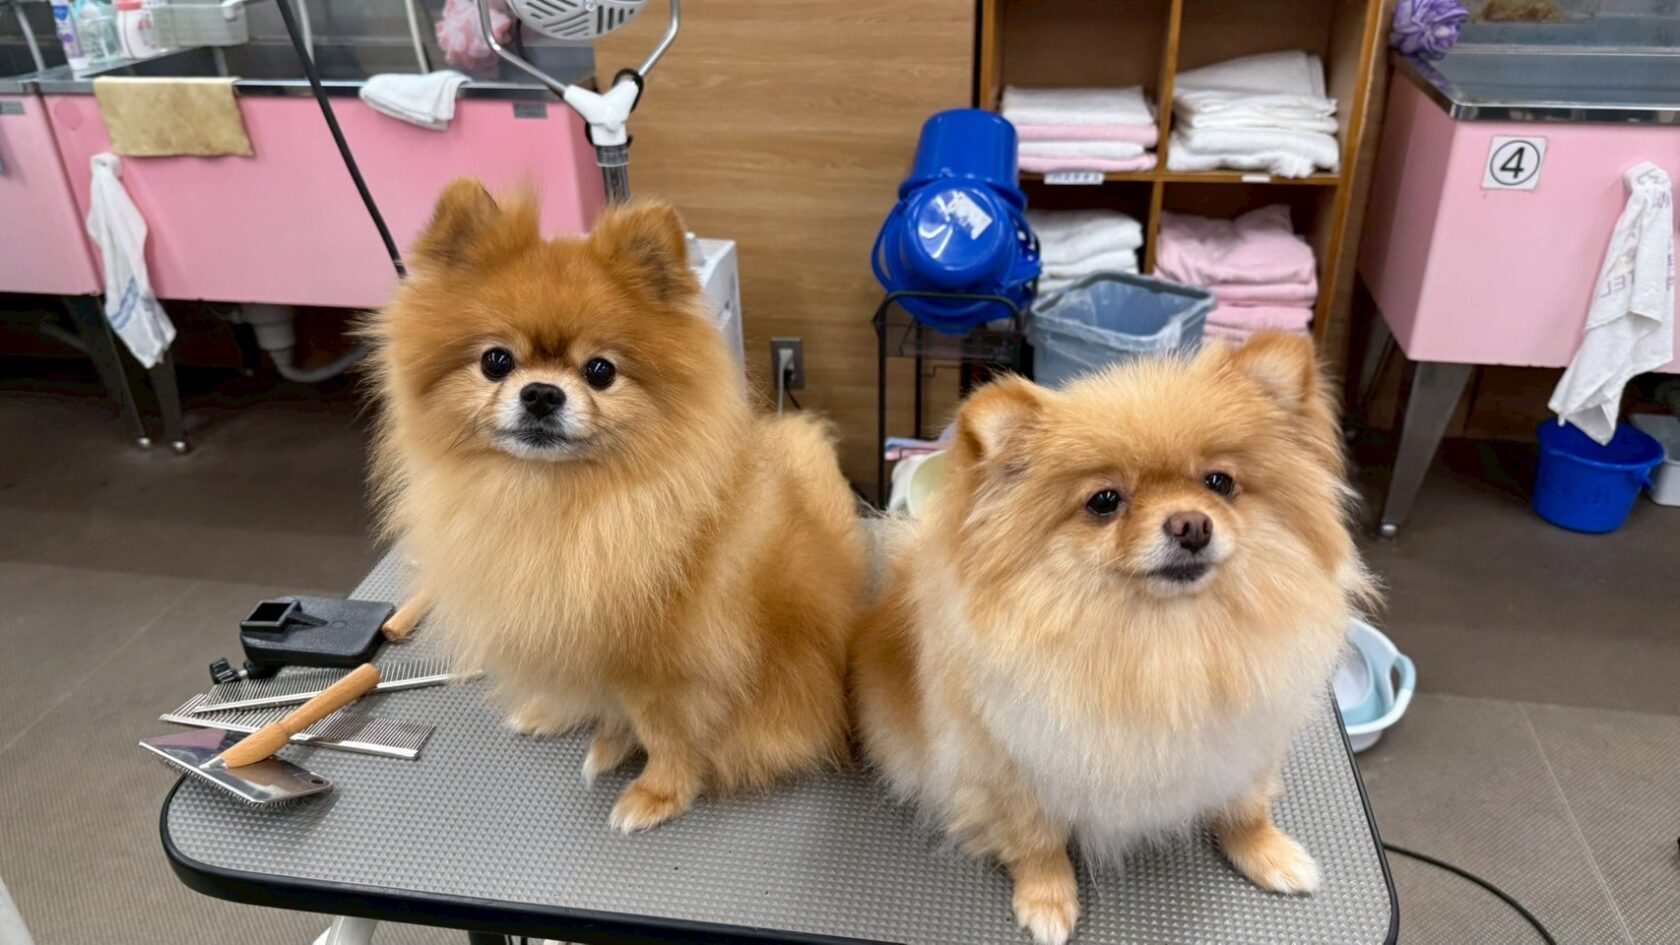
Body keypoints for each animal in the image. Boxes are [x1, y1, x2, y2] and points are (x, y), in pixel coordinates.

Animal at [367, 181, 868, 832]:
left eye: (600, 371)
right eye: (496, 361)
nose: (541, 393)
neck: (560, 503)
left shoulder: (666, 671)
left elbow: (667, 734)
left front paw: (658, 792)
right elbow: (601, 702)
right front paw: (571, 720)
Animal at [852, 333, 1374, 944]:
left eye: (1219, 483)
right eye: (1104, 501)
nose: (1191, 524)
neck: (1165, 641)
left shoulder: (1248, 737)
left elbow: (1246, 806)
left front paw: (1267, 853)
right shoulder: (1010, 763)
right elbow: (1036, 840)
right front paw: (1047, 899)